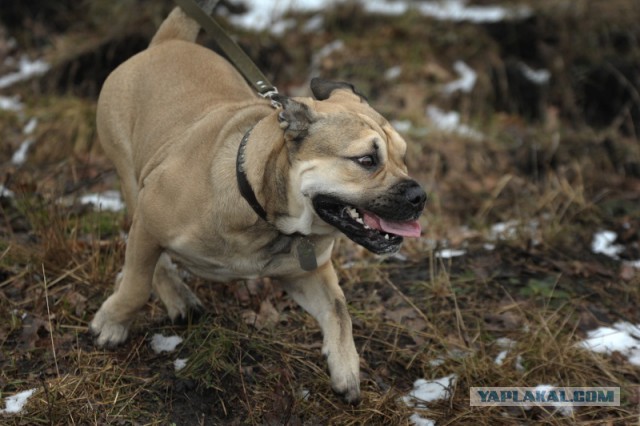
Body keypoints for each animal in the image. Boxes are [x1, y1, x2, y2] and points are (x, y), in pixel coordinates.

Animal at [90, 4, 428, 402]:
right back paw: (175, 297)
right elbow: (136, 285)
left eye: (403, 157)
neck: (263, 211)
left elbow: (339, 309)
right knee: (149, 261)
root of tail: (167, 41)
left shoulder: (307, 273)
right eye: (366, 160)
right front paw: (112, 322)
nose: (419, 196)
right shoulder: (150, 219)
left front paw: (345, 368)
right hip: (131, 179)